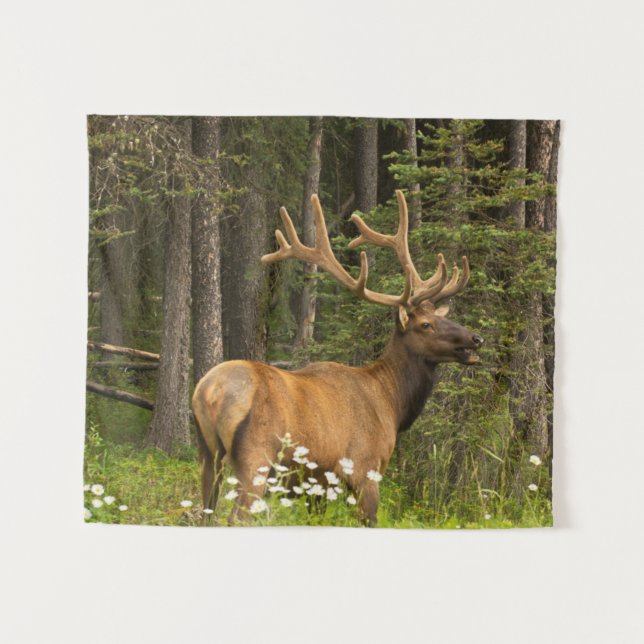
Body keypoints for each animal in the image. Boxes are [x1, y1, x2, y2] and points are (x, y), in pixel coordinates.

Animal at [192, 190, 483, 525]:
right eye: (425, 324)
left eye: (441, 317)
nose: (476, 339)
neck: (392, 403)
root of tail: (210, 392)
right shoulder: (365, 468)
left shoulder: (316, 483)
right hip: (256, 457)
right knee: (237, 517)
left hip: (207, 455)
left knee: (203, 513)